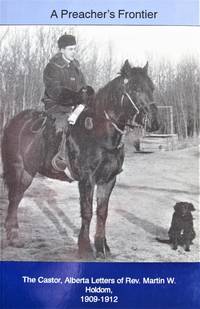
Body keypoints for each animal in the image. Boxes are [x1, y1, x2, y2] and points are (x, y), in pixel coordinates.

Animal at [0, 59, 159, 258]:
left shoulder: (108, 180)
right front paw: (85, 248)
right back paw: (13, 237)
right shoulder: (87, 179)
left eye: (152, 87)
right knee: (15, 198)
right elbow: (87, 212)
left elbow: (102, 212)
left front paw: (102, 247)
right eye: (135, 88)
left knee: (16, 197)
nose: (154, 122)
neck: (99, 132)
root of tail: (13, 121)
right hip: (20, 170)